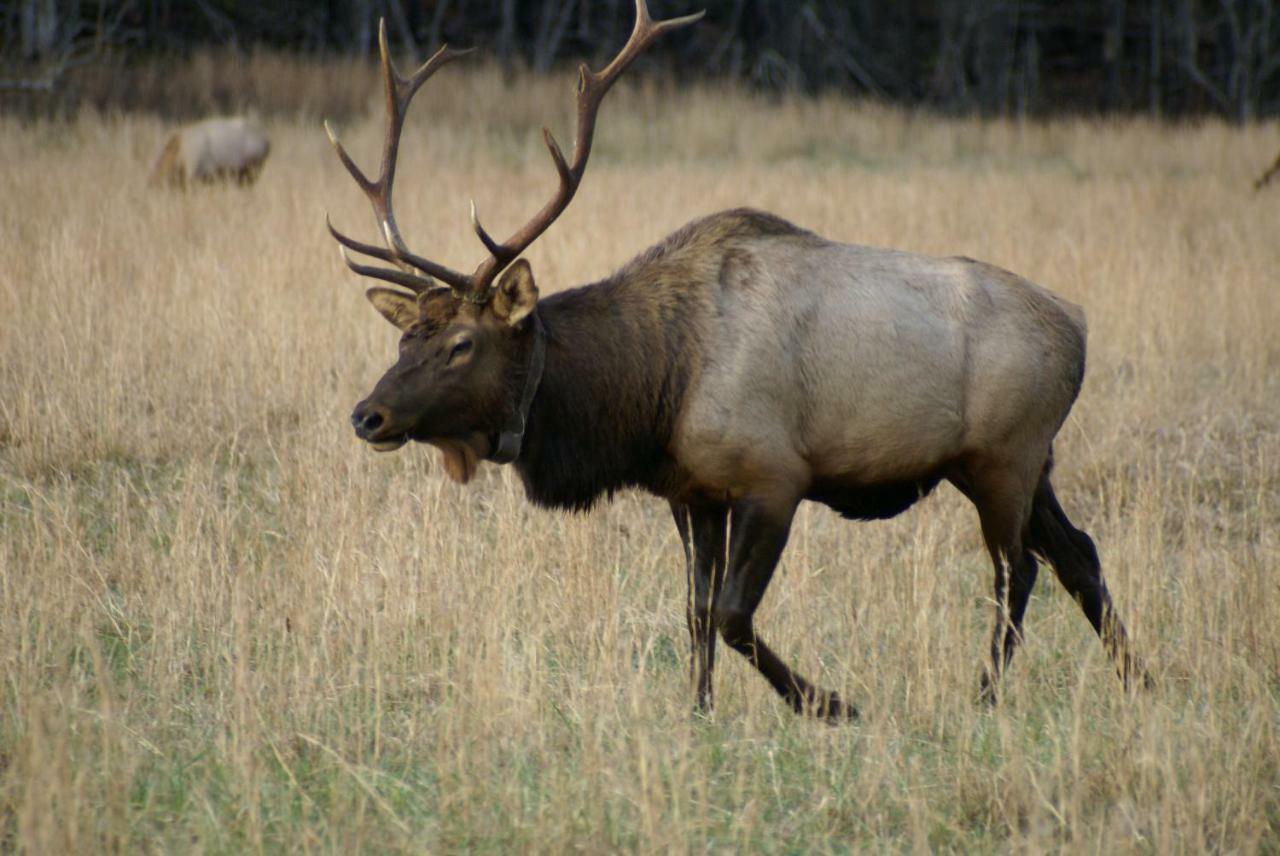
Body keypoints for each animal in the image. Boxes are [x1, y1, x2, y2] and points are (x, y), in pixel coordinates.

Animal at [325, 3, 1146, 716]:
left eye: (462, 344)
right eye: (405, 338)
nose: (368, 416)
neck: (651, 390)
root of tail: (1077, 328)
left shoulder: (772, 476)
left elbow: (730, 615)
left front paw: (831, 704)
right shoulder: (692, 492)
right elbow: (694, 612)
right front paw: (700, 711)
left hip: (1003, 455)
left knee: (1019, 570)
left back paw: (984, 697)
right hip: (1026, 464)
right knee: (1080, 554)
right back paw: (1145, 679)